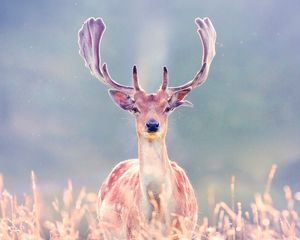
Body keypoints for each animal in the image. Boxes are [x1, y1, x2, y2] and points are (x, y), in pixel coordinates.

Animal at [78, 15, 217, 239]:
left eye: (167, 107)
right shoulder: (133, 231)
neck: (158, 212)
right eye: (135, 108)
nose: (152, 124)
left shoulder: (183, 229)